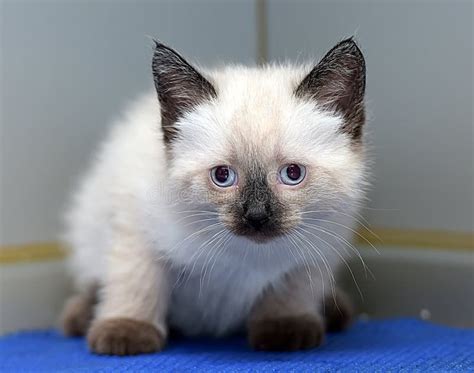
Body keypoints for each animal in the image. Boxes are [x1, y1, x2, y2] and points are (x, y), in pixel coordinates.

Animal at [61, 38, 368, 354]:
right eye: (223, 176)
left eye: (292, 173)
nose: (256, 216)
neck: (247, 257)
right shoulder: (137, 230)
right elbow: (138, 282)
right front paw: (127, 332)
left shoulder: (313, 253)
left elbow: (289, 293)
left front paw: (285, 331)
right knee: (94, 285)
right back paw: (80, 318)